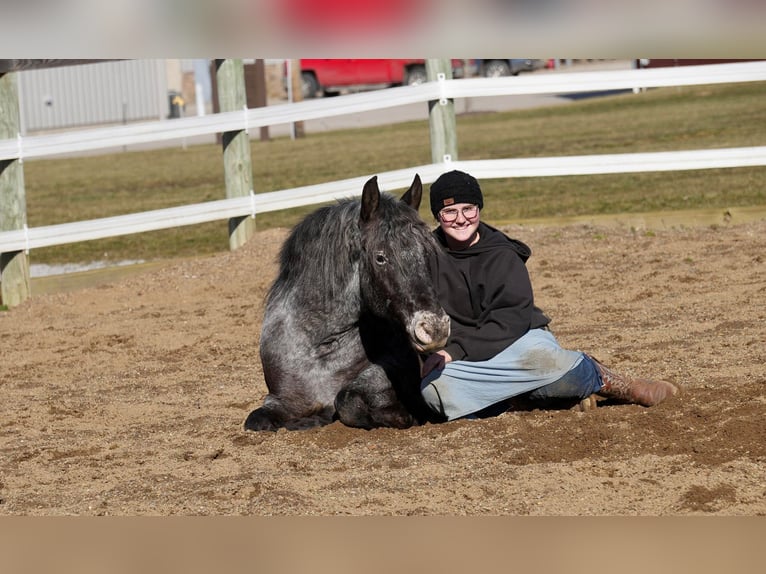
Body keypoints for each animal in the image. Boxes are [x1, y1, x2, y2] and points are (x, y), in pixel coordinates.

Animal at [244, 174, 450, 431]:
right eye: (380, 258)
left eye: (426, 253)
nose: (435, 328)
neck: (320, 352)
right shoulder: (279, 400)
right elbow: (256, 420)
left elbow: (346, 399)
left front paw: (402, 415)